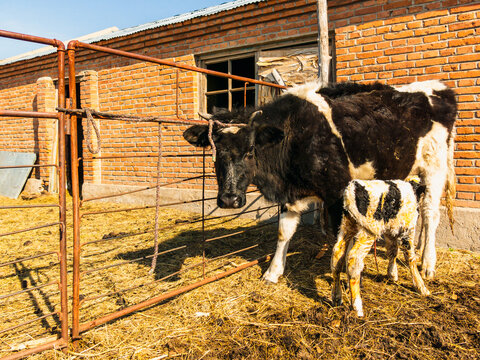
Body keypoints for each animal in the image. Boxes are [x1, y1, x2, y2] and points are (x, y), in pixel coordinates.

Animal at [184, 79, 458, 282]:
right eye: (214, 151)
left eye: (251, 150)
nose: (229, 199)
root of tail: (440, 88)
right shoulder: (290, 194)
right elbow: (284, 232)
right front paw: (273, 272)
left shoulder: (336, 191)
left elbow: (339, 237)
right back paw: (417, 251)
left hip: (435, 166)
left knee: (431, 213)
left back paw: (428, 263)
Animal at [330, 176, 432, 316]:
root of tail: (352, 188)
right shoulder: (408, 229)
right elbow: (410, 258)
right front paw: (421, 287)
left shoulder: (391, 229)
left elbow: (392, 251)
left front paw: (392, 274)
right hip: (368, 230)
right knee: (353, 259)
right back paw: (357, 307)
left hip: (347, 225)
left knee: (337, 254)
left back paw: (336, 297)